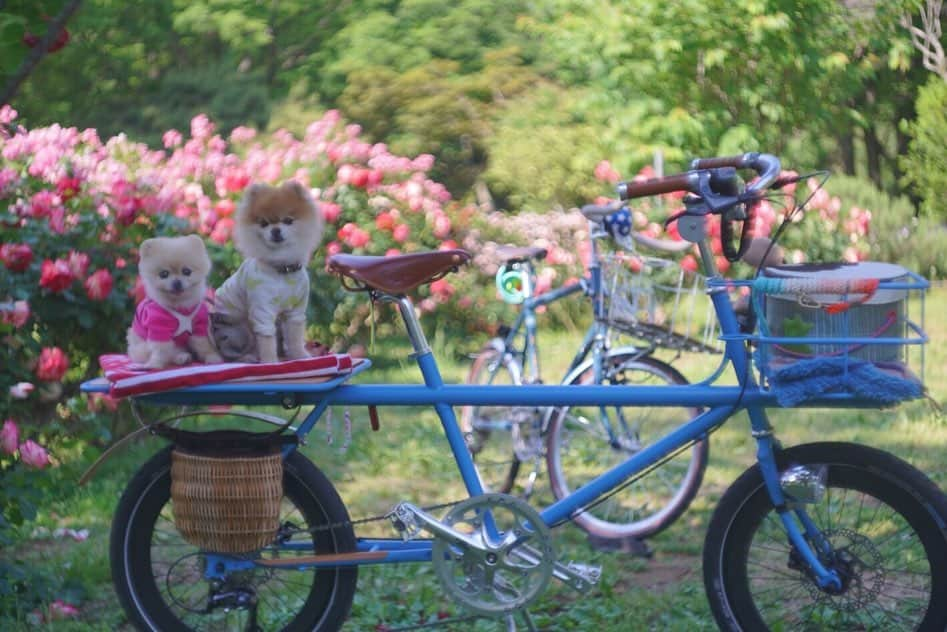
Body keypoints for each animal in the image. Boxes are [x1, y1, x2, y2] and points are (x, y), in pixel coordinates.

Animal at [127, 235, 223, 368]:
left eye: (187, 271)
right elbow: (161, 350)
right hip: (140, 348)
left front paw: (212, 357)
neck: (179, 305)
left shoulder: (199, 326)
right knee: (170, 353)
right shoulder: (158, 327)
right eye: (164, 274)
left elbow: (203, 345)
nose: (177, 282)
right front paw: (154, 364)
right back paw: (181, 357)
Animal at [209, 180, 324, 362]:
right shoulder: (262, 309)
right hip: (237, 327)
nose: (275, 230)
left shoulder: (296, 310)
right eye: (263, 223)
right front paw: (270, 360)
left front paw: (300, 355)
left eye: (288, 220)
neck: (282, 268)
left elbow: (295, 336)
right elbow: (267, 340)